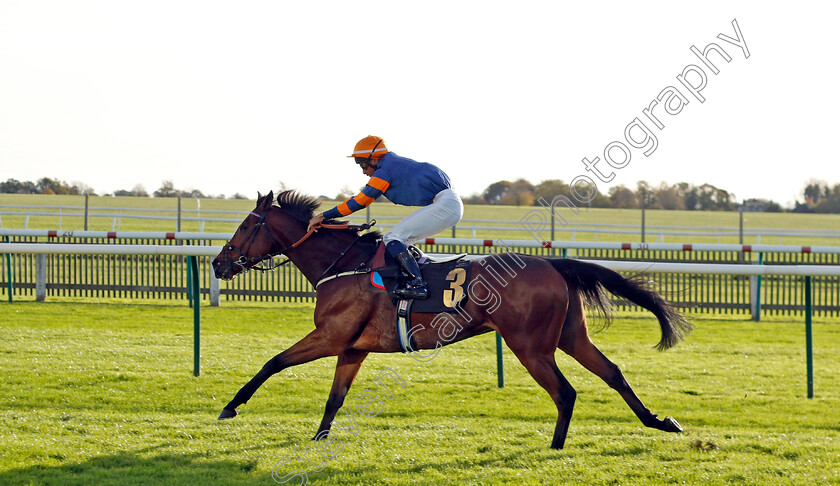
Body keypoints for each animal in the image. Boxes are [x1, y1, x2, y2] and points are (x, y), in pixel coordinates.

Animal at [213, 190, 692, 448]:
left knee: (565, 392)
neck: (344, 264)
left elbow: (273, 362)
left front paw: (230, 406)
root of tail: (553, 263)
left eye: (245, 227)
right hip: (571, 337)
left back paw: (556, 447)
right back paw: (659, 421)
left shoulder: (329, 337)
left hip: (530, 345)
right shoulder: (351, 348)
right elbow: (335, 398)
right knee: (613, 373)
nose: (218, 264)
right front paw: (319, 439)